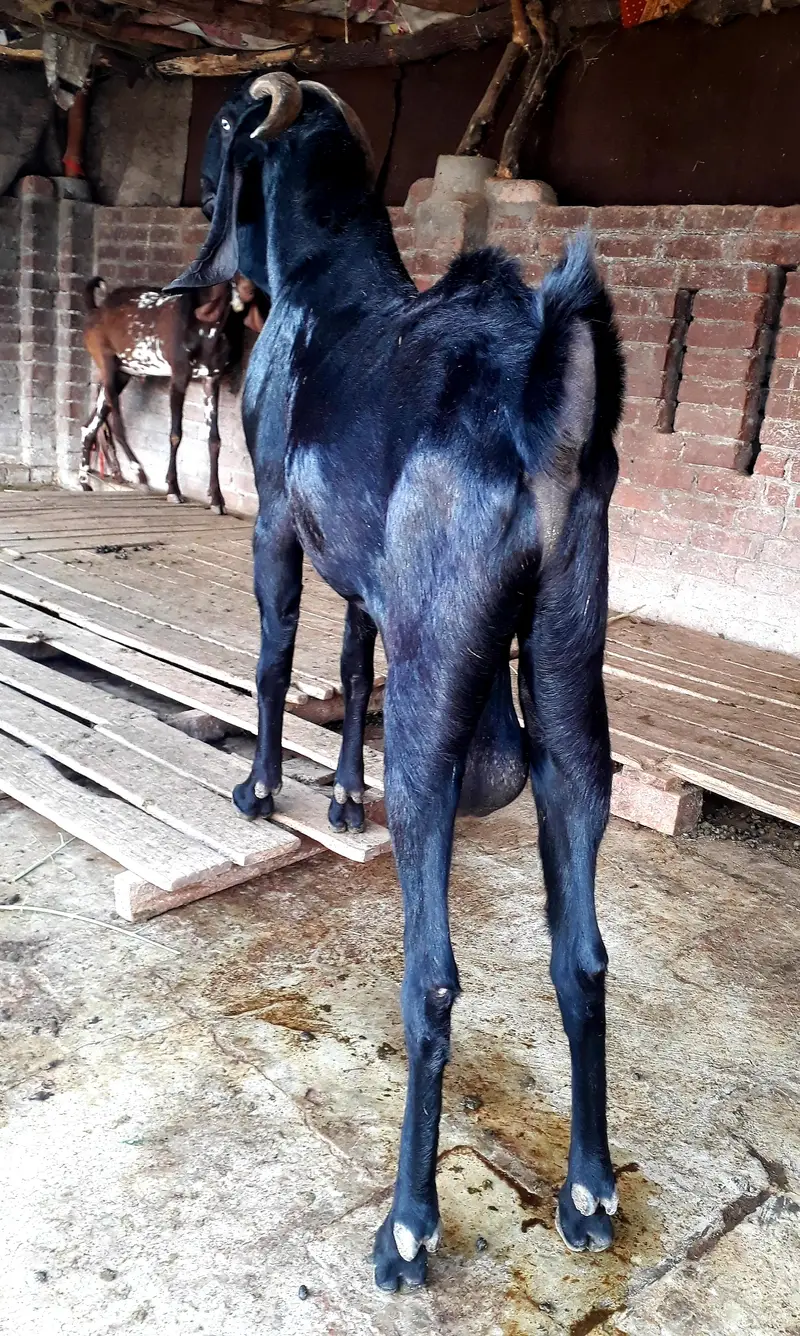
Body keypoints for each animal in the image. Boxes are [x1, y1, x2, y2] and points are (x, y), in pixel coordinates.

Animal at [81, 276, 266, 513]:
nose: (248, 291)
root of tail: (95, 310)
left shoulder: (211, 379)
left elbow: (214, 439)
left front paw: (217, 499)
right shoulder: (179, 376)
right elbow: (175, 434)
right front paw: (173, 489)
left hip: (124, 373)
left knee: (90, 425)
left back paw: (84, 483)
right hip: (107, 364)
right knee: (117, 424)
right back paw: (139, 474)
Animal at [168, 74, 624, 1292]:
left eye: (222, 131)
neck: (329, 275)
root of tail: (538, 405)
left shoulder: (277, 524)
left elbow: (278, 655)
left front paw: (265, 790)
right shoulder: (367, 581)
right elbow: (346, 664)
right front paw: (337, 794)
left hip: (436, 722)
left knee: (431, 979)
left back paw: (408, 1224)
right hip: (569, 688)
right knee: (582, 957)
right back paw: (588, 1190)